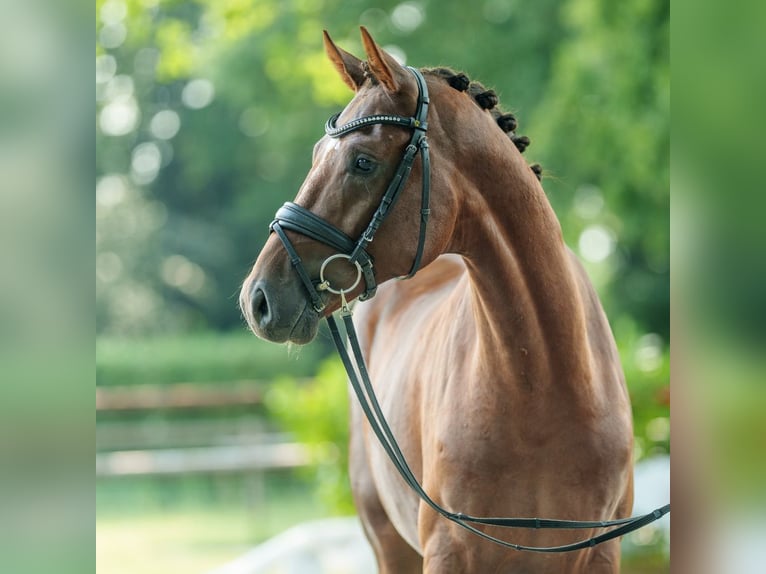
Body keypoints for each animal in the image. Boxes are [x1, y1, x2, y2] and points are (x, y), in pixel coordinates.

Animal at [242, 28, 636, 574]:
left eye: (362, 162)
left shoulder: (600, 555)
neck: (544, 377)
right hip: (389, 543)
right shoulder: (447, 551)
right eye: (318, 152)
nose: (258, 298)